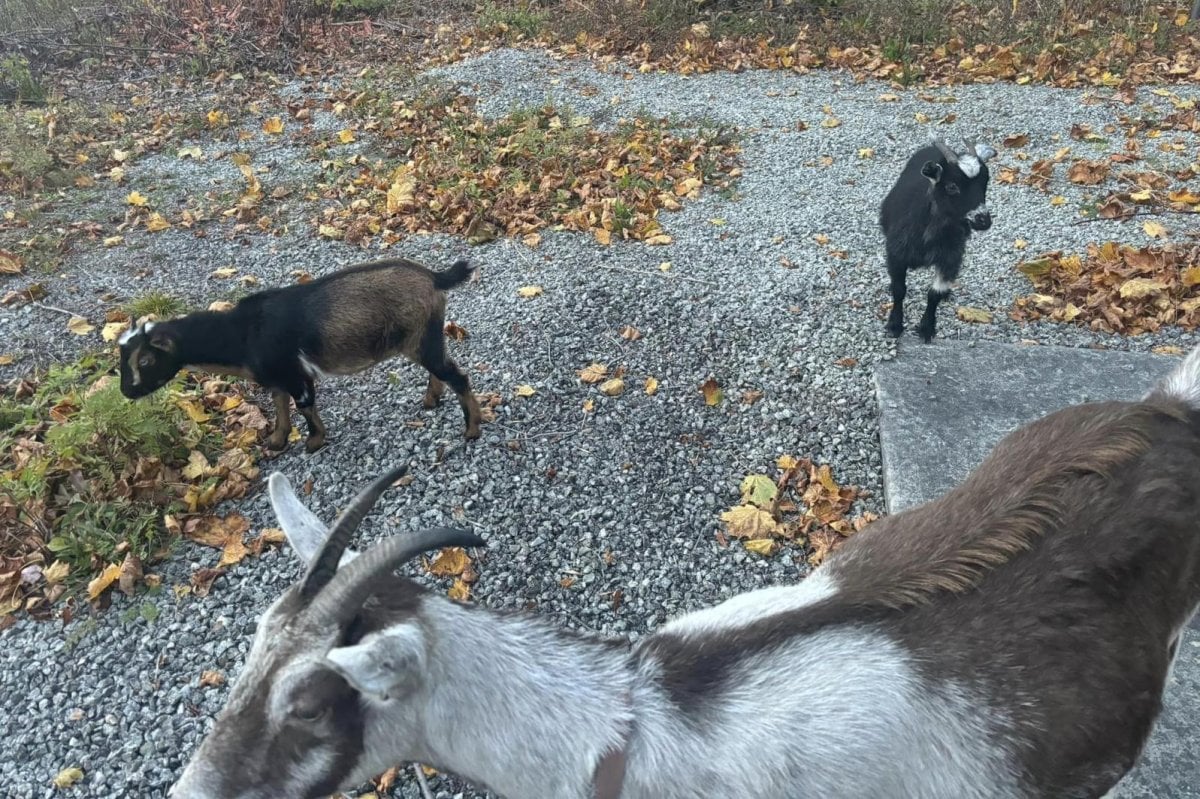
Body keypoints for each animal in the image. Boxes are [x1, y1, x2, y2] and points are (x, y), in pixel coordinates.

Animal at [118, 257, 482, 451]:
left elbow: (304, 405)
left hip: (421, 339)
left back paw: (472, 430)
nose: (126, 392)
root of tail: (434, 277)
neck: (242, 333)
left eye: (146, 360)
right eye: (121, 359)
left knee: (458, 376)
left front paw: (314, 442)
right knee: (440, 370)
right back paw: (431, 401)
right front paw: (276, 440)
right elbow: (281, 406)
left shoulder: (294, 372)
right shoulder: (275, 377)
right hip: (423, 338)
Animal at [878, 137, 998, 343]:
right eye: (952, 186)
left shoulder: (950, 258)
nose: (983, 220)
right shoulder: (896, 254)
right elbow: (899, 289)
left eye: (986, 182)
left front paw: (927, 328)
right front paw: (894, 325)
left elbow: (935, 294)